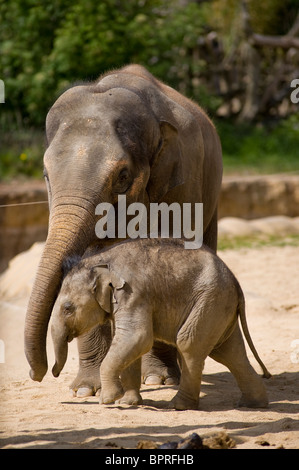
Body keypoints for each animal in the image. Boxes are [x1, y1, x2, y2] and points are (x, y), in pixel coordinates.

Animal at [24, 63, 224, 396]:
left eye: (122, 176)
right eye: (46, 175)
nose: (39, 373)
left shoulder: (182, 182)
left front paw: (159, 380)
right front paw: (85, 390)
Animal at [51, 237, 272, 410]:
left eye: (68, 308)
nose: (54, 372)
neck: (102, 261)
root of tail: (236, 283)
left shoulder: (133, 294)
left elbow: (137, 338)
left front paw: (108, 401)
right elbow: (128, 343)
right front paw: (128, 403)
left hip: (210, 301)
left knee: (189, 344)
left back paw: (179, 406)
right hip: (220, 309)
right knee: (230, 353)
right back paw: (253, 404)